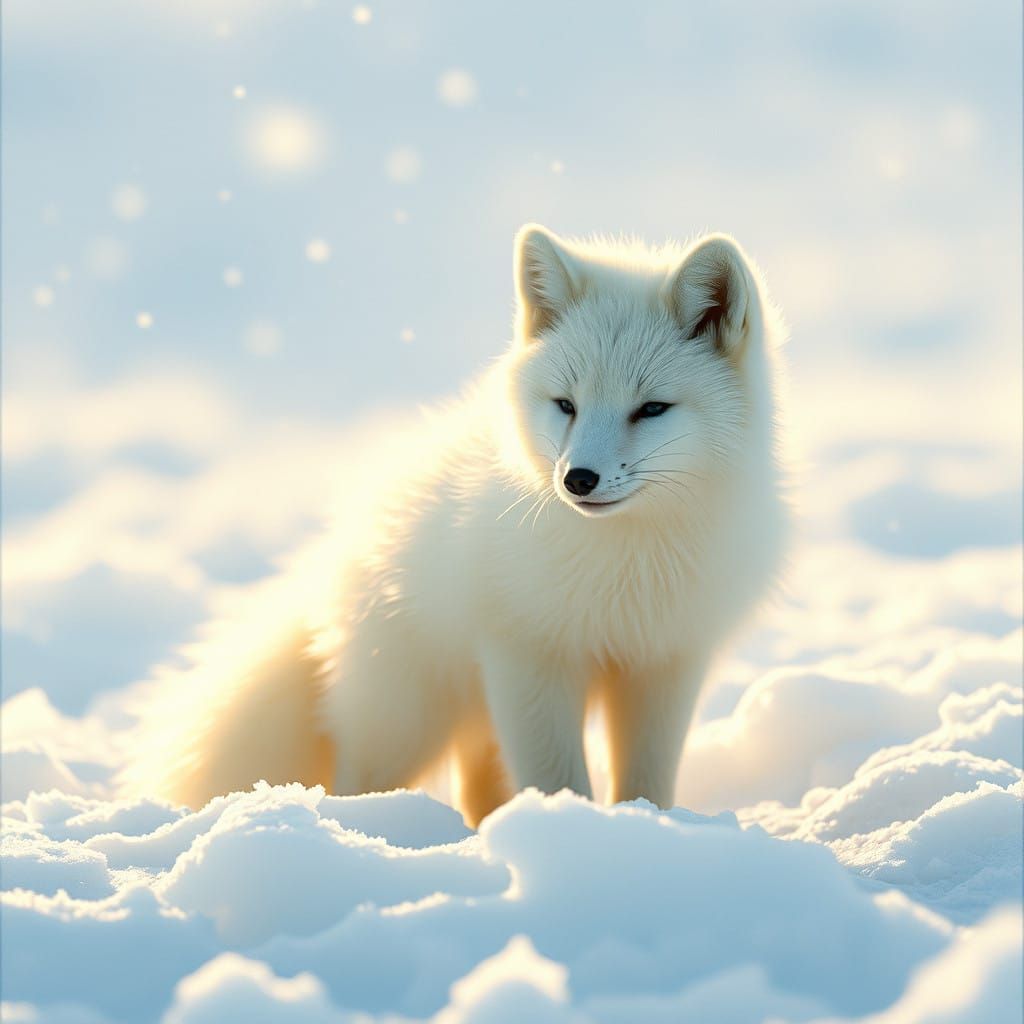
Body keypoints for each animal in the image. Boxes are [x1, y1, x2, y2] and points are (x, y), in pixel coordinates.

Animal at [128, 224, 788, 827]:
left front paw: (642, 831)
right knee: (360, 780)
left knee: (476, 789)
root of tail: (333, 559)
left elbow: (645, 782)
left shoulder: (665, 664)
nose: (578, 479)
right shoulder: (529, 658)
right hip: (407, 717)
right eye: (566, 405)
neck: (625, 567)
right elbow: (558, 779)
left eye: (651, 409)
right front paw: (570, 829)